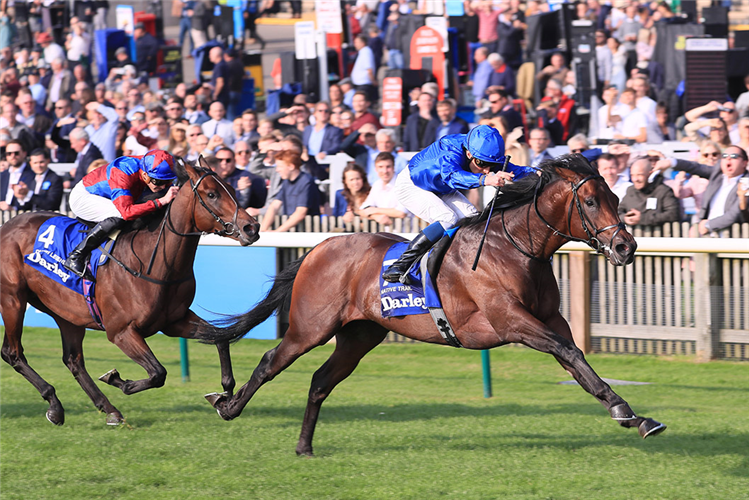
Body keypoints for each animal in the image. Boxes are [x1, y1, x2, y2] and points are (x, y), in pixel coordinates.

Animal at [0, 157, 260, 426]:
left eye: (232, 189)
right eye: (211, 194)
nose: (251, 227)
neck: (152, 264)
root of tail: (7, 226)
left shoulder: (175, 321)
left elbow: (220, 338)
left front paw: (225, 395)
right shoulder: (121, 331)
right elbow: (158, 373)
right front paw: (116, 379)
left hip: (67, 313)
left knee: (73, 360)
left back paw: (108, 408)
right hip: (13, 300)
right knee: (12, 353)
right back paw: (54, 404)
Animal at [200, 154, 668, 456]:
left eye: (615, 198)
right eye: (590, 202)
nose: (626, 247)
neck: (515, 247)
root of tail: (319, 248)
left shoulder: (550, 320)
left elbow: (577, 362)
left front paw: (635, 416)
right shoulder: (511, 321)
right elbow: (570, 353)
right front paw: (626, 410)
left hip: (360, 334)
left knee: (320, 381)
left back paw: (304, 447)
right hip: (309, 328)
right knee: (270, 361)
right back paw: (228, 406)